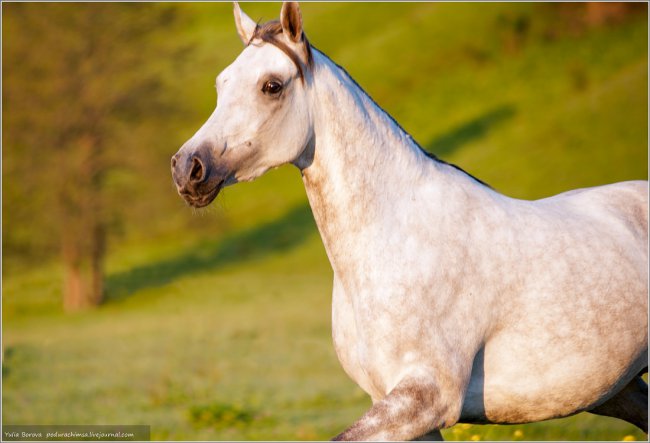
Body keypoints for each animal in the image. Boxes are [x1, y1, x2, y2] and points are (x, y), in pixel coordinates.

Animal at [170, 2, 644, 440]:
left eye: (271, 86)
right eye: (222, 83)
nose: (187, 168)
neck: (395, 239)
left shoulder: (426, 398)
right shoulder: (403, 409)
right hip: (620, 390)